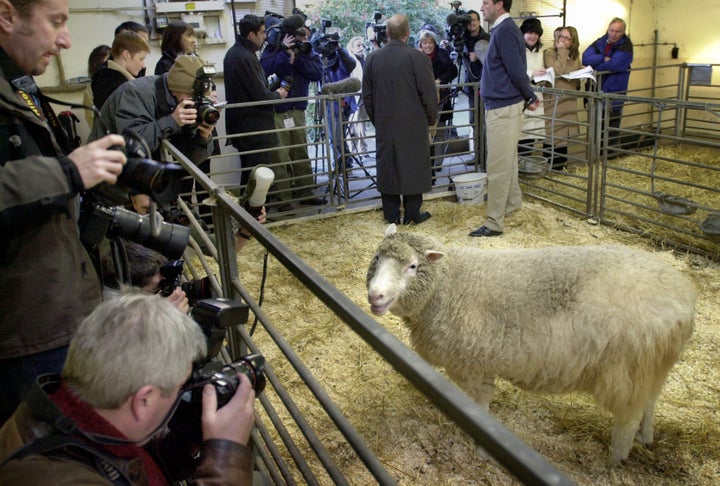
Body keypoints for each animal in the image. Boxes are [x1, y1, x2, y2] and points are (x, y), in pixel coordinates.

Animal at [368, 226, 696, 466]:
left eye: (413, 266)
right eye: (376, 258)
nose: (375, 296)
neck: (448, 287)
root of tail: (683, 298)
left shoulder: (472, 365)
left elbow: (480, 407)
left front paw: (483, 448)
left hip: (626, 369)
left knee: (628, 419)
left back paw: (614, 461)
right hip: (650, 366)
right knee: (650, 401)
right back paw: (646, 437)